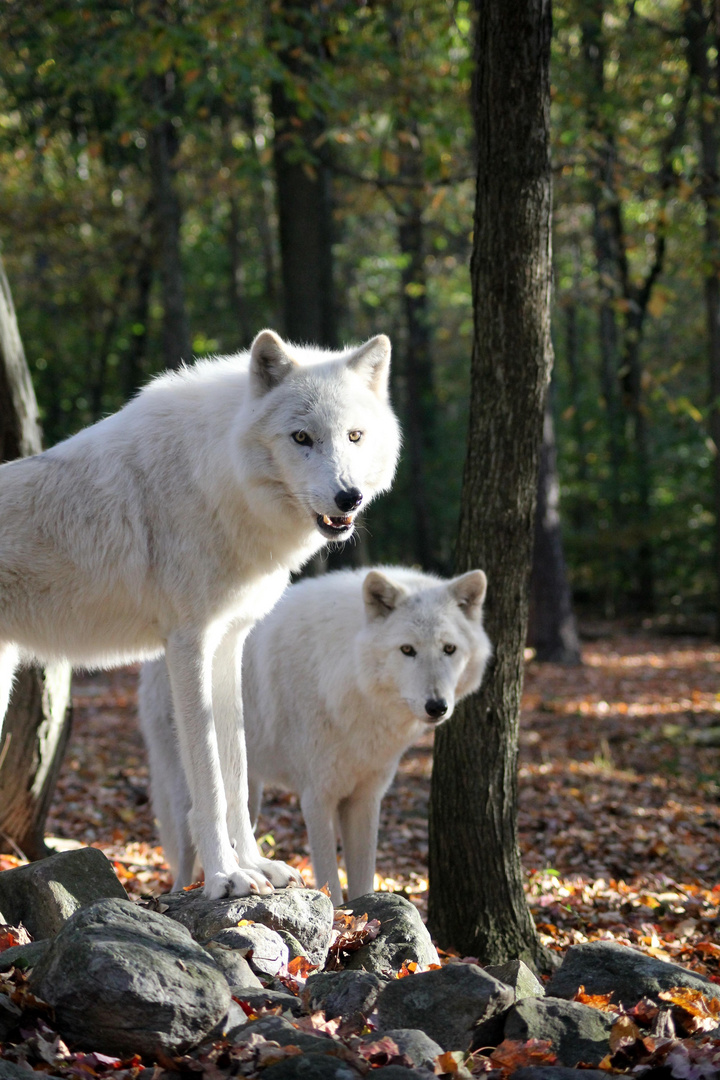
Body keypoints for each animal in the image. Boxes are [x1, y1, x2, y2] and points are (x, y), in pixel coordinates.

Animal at [0, 330, 399, 902]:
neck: (214, 479)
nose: (349, 497)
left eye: (355, 436)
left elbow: (236, 773)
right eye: (302, 437)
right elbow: (209, 783)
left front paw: (257, 866)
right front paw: (226, 878)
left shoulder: (229, 642)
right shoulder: (188, 644)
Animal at [138, 565, 492, 902]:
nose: (437, 706)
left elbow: (363, 884)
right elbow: (332, 884)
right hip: (187, 792)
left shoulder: (365, 799)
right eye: (407, 650)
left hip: (250, 794)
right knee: (185, 859)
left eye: (449, 649)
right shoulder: (316, 798)